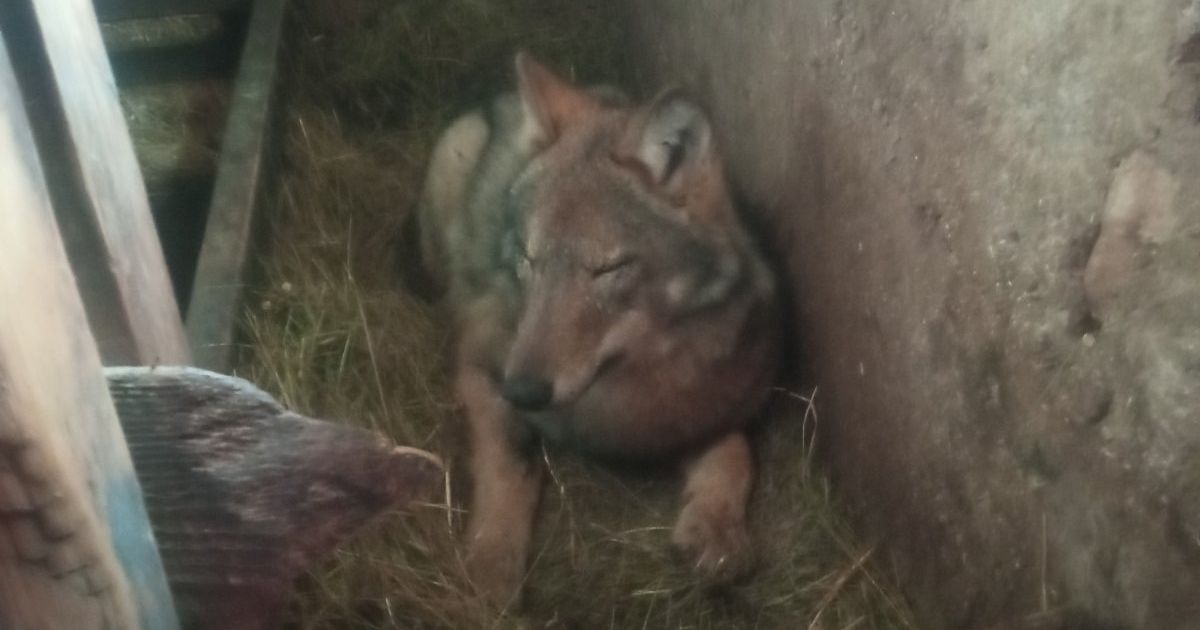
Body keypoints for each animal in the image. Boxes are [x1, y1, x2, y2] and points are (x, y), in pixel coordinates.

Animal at [411, 52, 781, 607]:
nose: (524, 390)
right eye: (529, 258)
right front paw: (492, 563)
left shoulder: (716, 404)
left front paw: (716, 530)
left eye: (608, 268)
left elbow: (736, 454)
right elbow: (509, 463)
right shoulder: (481, 368)